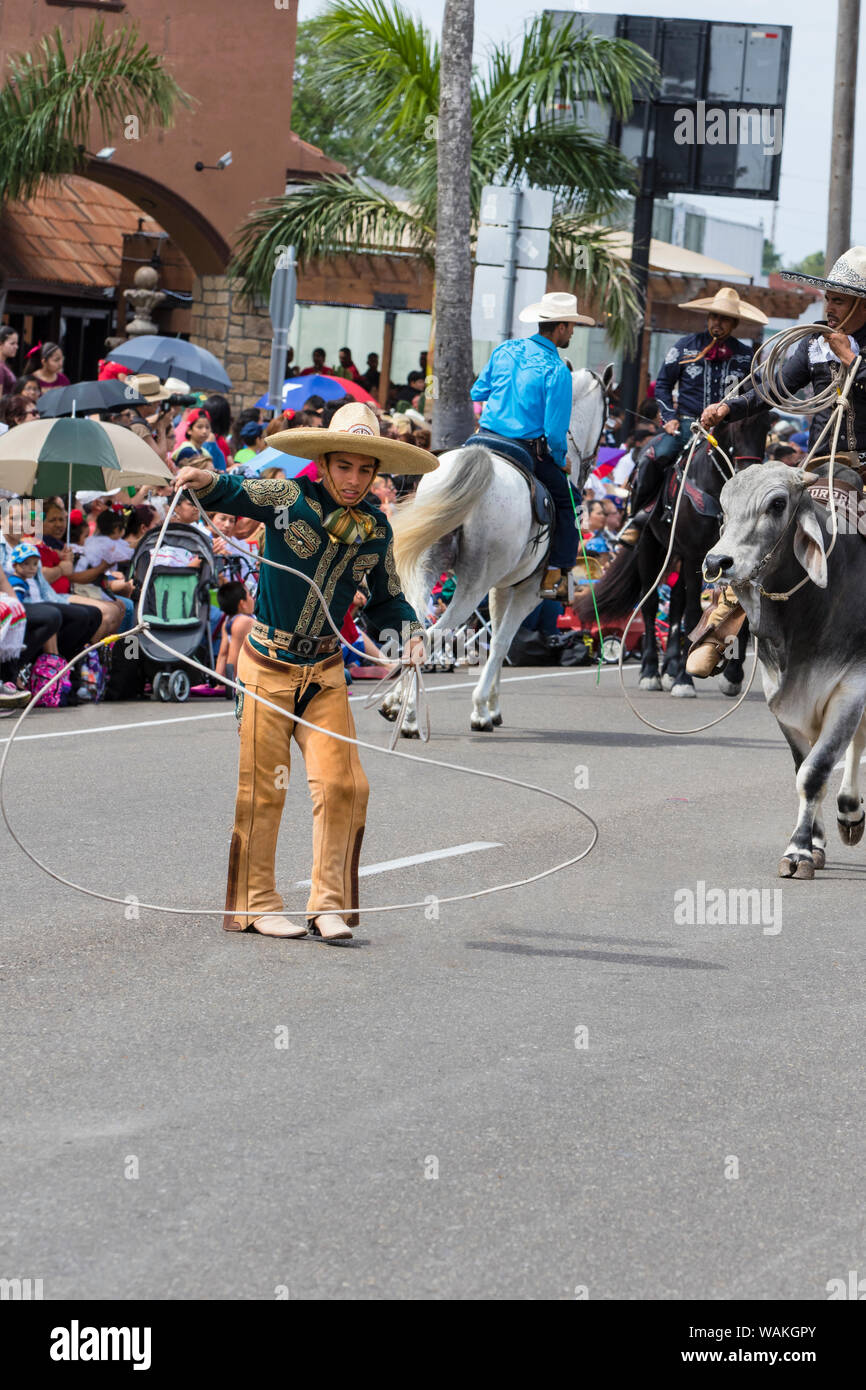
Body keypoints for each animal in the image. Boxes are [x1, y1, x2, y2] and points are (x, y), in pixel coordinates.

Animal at [380, 369, 617, 739]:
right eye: (607, 417)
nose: (590, 462)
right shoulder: (528, 592)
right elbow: (504, 642)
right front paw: (482, 710)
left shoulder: (501, 588)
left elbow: (498, 640)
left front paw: (491, 707)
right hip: (470, 586)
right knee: (434, 635)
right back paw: (412, 719)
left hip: (423, 569)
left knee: (413, 628)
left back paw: (398, 705)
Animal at [578, 408, 767, 695]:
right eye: (737, 426)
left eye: (766, 426)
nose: (750, 479)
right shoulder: (695, 555)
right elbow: (692, 612)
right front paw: (683, 680)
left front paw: (732, 676)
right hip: (651, 548)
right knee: (650, 602)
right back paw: (651, 672)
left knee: (676, 602)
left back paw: (671, 666)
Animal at [706, 467, 866, 878]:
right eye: (724, 505)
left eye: (777, 504)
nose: (716, 562)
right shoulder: (780, 696)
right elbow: (801, 768)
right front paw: (812, 843)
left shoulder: (851, 687)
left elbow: (815, 771)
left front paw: (798, 851)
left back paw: (850, 811)